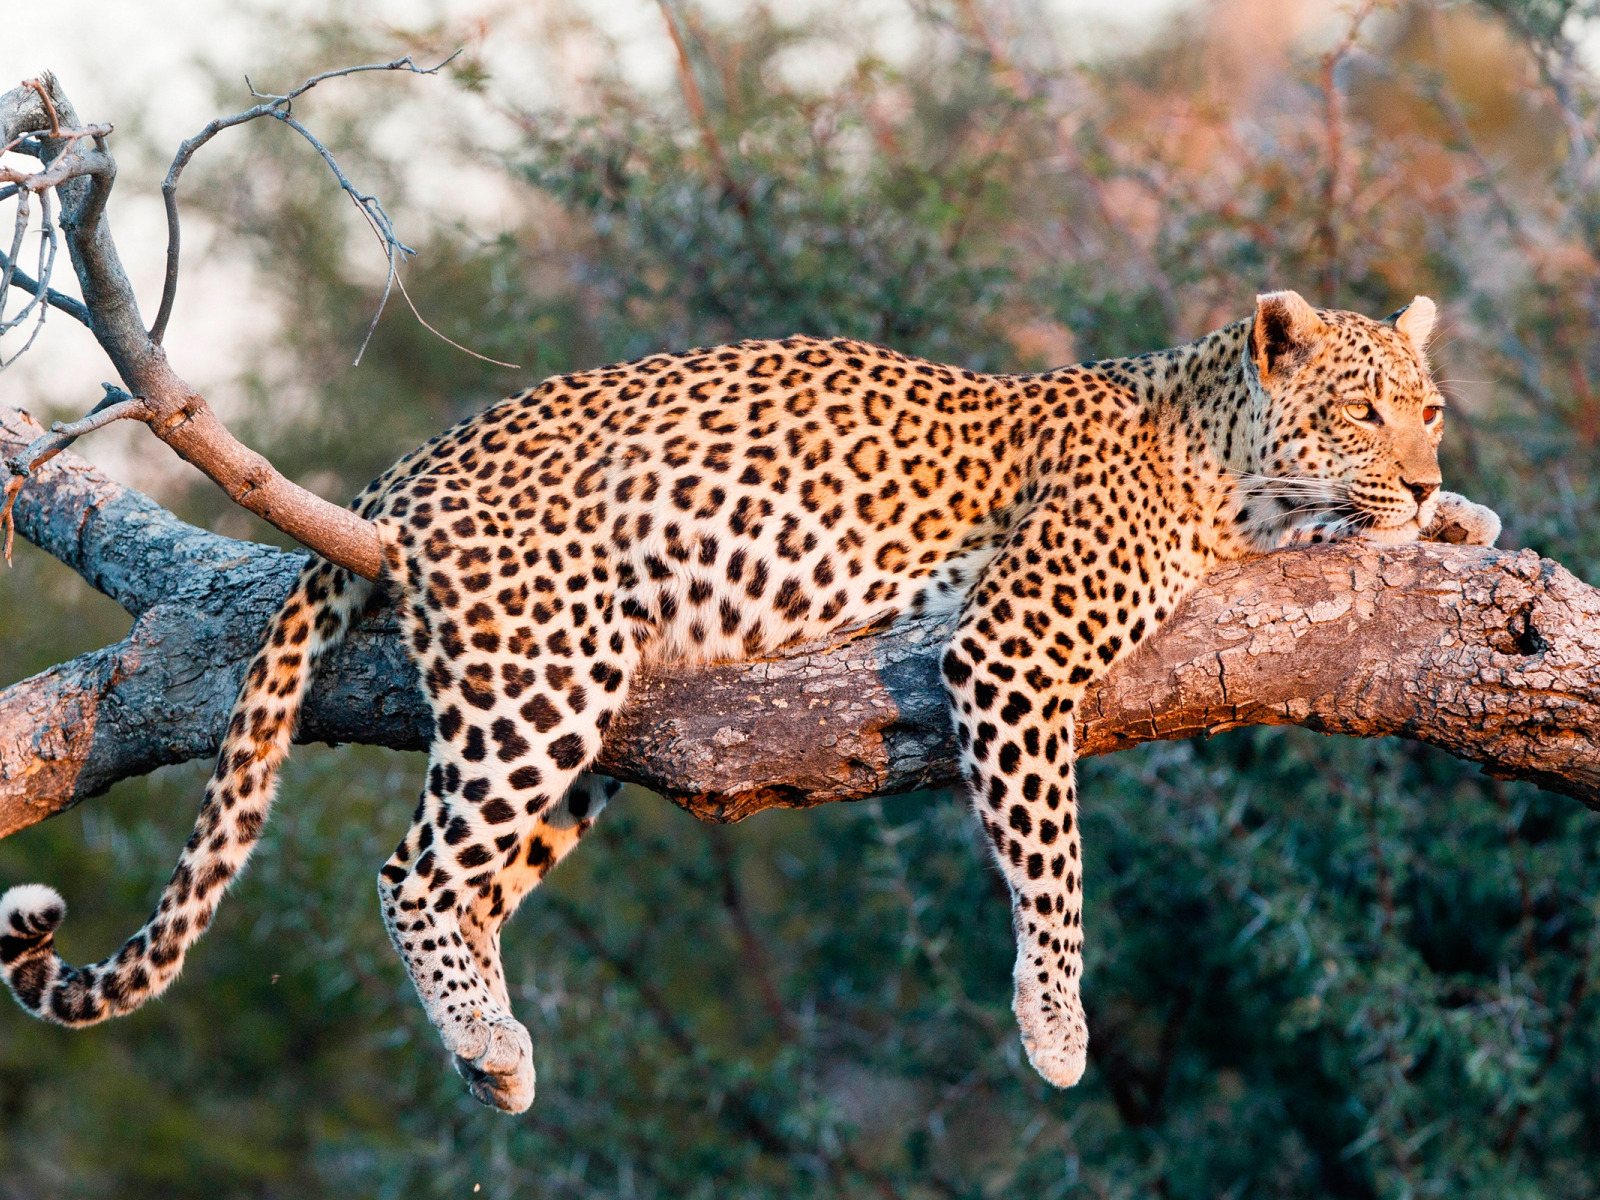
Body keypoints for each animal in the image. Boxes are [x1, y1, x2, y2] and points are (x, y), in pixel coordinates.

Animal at [0, 291, 1497, 1120]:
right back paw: (484, 1035)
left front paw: (1457, 521)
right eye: (1360, 410)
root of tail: (409, 471)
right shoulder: (1011, 652)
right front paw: (1056, 1024)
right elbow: (1054, 863)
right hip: (542, 675)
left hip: (586, 723)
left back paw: (493, 1053)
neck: (1220, 451)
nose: (1427, 472)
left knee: (466, 882)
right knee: (413, 873)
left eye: (1427, 411)